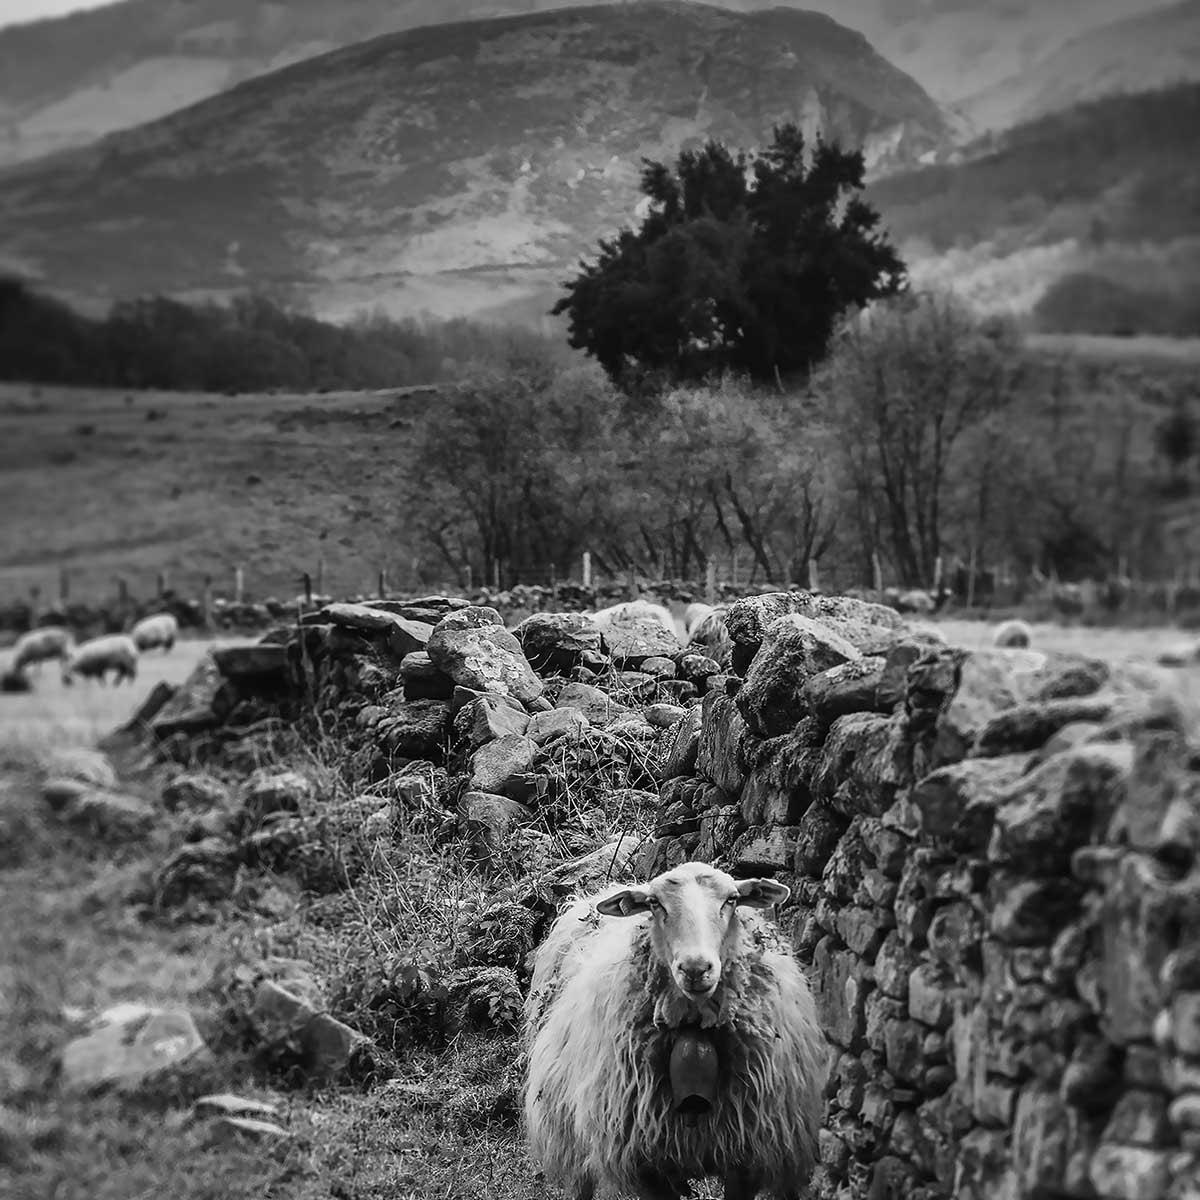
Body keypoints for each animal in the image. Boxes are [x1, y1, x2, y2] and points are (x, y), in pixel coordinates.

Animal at [520, 864, 830, 1200]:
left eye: (731, 900)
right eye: (655, 903)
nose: (695, 969)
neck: (695, 1027)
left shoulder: (749, 1157)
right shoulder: (645, 1164)